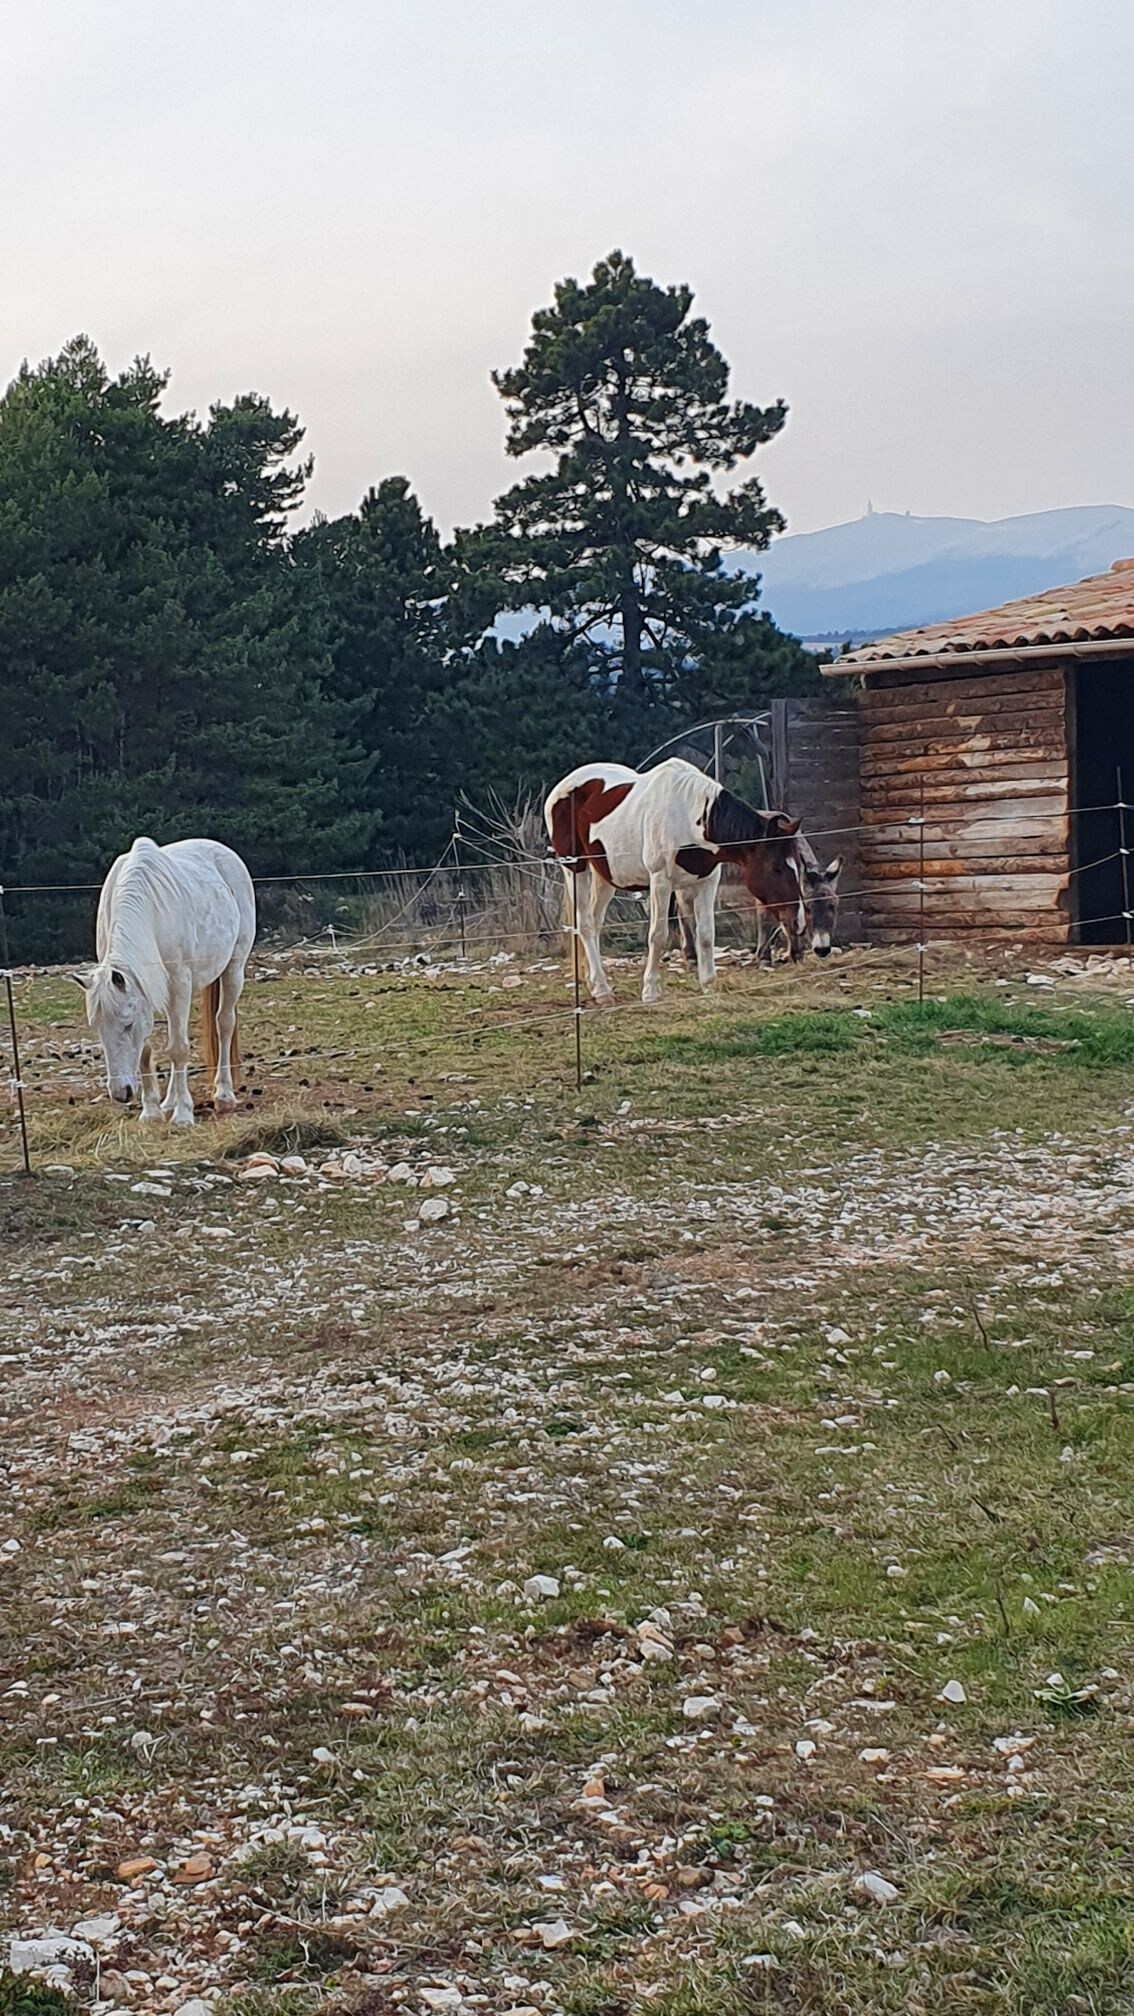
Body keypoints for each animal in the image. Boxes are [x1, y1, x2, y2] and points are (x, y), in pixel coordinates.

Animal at [77, 830, 256, 1120]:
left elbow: (178, 1048)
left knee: (224, 1023)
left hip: (233, 968)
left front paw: (183, 1114)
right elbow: (147, 1051)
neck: (147, 909)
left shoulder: (178, 984)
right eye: (97, 1027)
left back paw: (223, 1095)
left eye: (127, 1024)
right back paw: (169, 1101)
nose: (121, 1093)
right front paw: (151, 1111)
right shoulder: (145, 987)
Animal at [540, 758, 799, 1008]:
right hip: (575, 867)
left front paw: (709, 985)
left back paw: (593, 984)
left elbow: (706, 933)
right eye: (776, 868)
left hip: (605, 875)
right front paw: (651, 991)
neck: (690, 816)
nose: (797, 920)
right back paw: (603, 991)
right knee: (584, 924)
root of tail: (561, 788)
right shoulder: (661, 881)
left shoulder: (707, 881)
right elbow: (658, 935)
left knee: (594, 923)